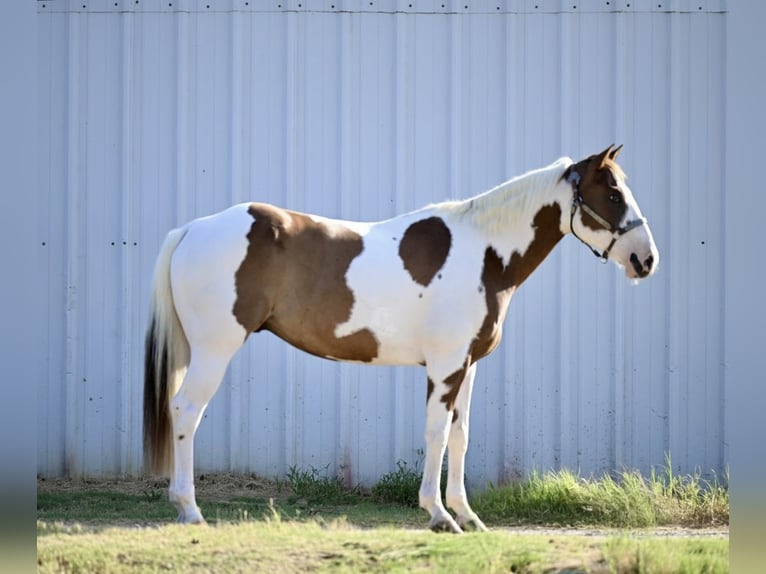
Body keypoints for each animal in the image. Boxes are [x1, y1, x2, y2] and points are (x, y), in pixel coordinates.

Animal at [144, 145, 659, 533]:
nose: (646, 259)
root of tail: (192, 229)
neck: (485, 254)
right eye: (613, 192)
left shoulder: (467, 365)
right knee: (186, 411)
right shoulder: (445, 365)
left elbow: (460, 437)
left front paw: (467, 516)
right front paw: (438, 515)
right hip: (214, 350)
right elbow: (435, 433)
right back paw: (190, 510)